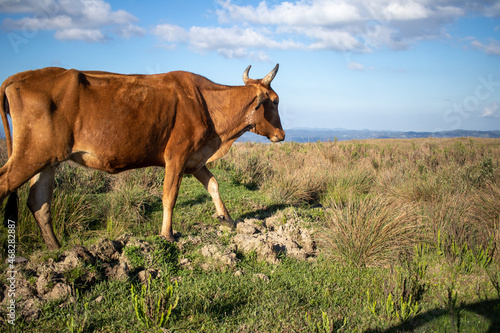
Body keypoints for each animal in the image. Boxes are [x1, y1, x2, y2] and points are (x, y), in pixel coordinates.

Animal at [0, 65, 286, 248]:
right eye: (275, 100)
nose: (282, 134)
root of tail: (18, 77)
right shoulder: (177, 156)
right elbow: (170, 196)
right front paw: (167, 235)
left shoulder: (195, 159)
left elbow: (213, 184)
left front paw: (226, 218)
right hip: (29, 156)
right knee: (10, 187)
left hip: (47, 160)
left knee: (39, 203)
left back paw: (57, 249)